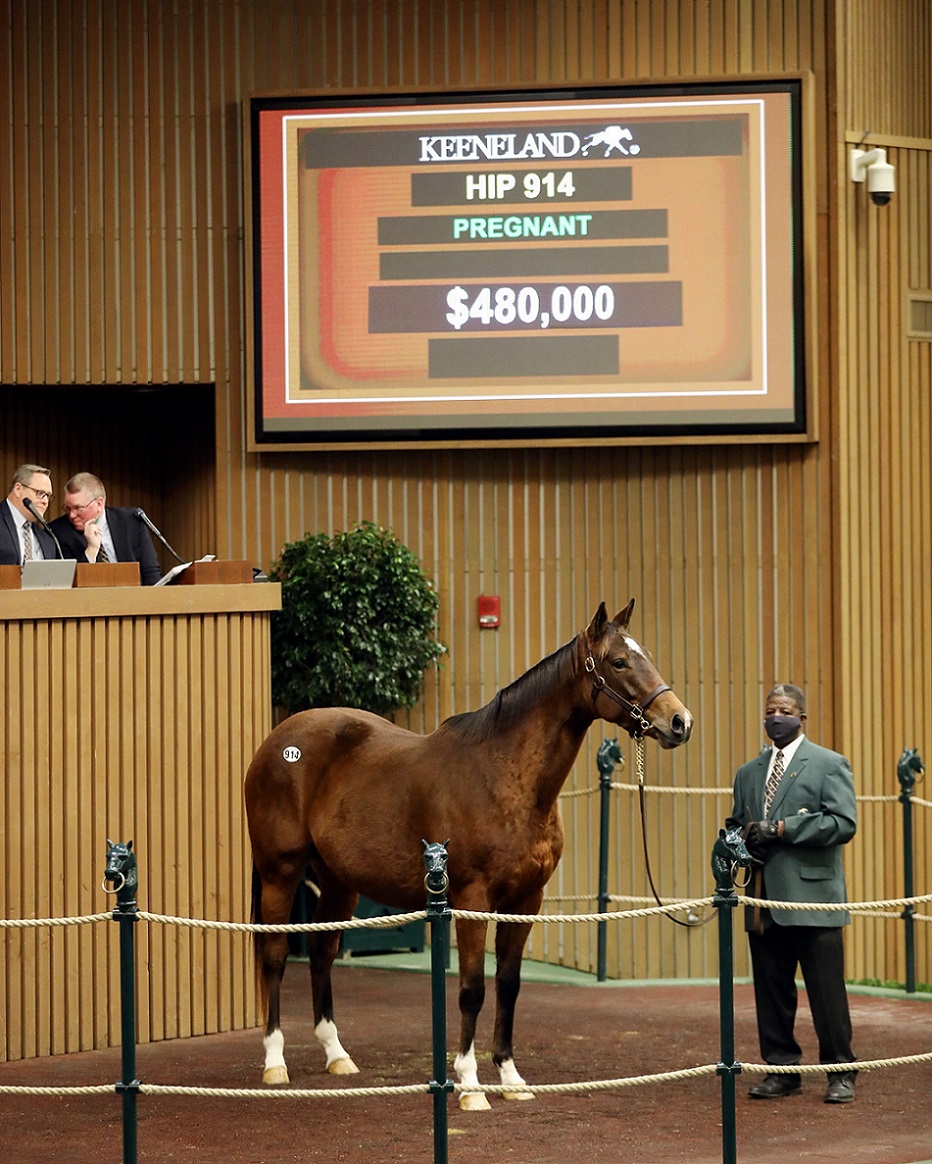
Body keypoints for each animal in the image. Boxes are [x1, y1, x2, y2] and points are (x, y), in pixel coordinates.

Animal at [245, 599, 692, 1109]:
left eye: (646, 655)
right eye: (618, 662)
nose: (679, 722)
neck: (503, 775)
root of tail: (277, 741)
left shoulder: (526, 902)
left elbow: (509, 986)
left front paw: (512, 1079)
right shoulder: (472, 900)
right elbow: (472, 989)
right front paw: (470, 1085)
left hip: (339, 882)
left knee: (322, 952)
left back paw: (337, 1056)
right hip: (279, 872)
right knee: (276, 955)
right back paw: (275, 1062)